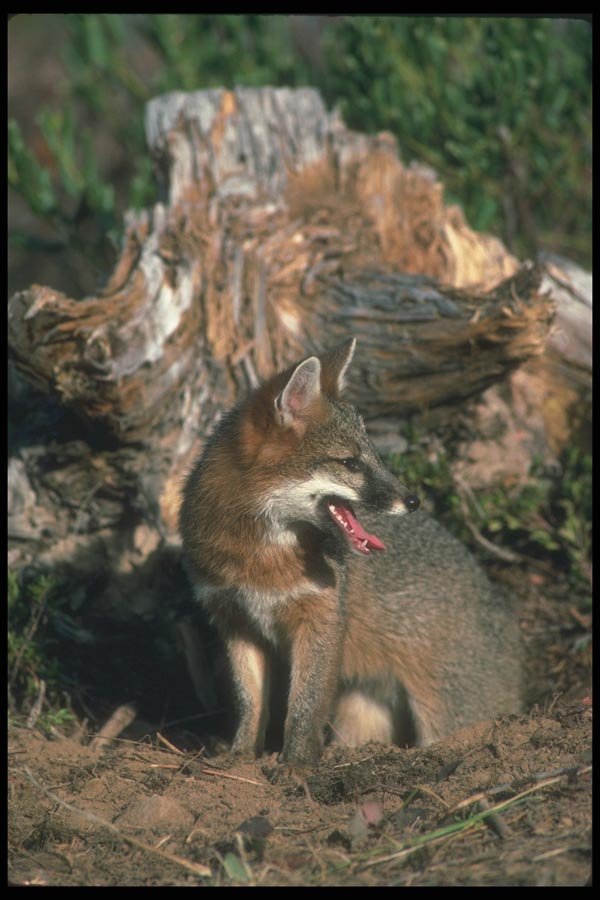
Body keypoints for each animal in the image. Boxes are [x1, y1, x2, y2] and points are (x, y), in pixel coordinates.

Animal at [179, 339, 522, 772]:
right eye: (350, 463)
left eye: (373, 455)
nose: (413, 500)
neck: (258, 559)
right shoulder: (235, 620)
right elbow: (250, 703)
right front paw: (240, 759)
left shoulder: (322, 618)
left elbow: (305, 707)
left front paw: (296, 767)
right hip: (361, 711)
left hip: (443, 714)